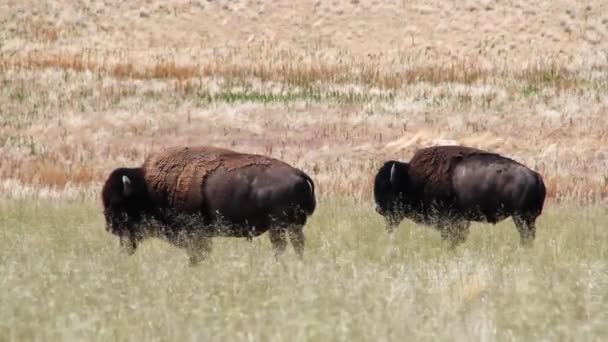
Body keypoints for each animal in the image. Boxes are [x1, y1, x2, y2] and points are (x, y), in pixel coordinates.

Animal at [100, 146, 316, 264]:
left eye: (118, 203)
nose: (110, 227)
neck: (148, 187)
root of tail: (298, 174)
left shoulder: (195, 234)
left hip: (278, 227)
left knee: (282, 247)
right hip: (291, 226)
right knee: (296, 245)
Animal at [372, 145, 548, 248]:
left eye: (388, 188)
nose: (378, 209)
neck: (411, 178)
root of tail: (536, 175)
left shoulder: (451, 219)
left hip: (521, 218)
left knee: (526, 236)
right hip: (526, 219)